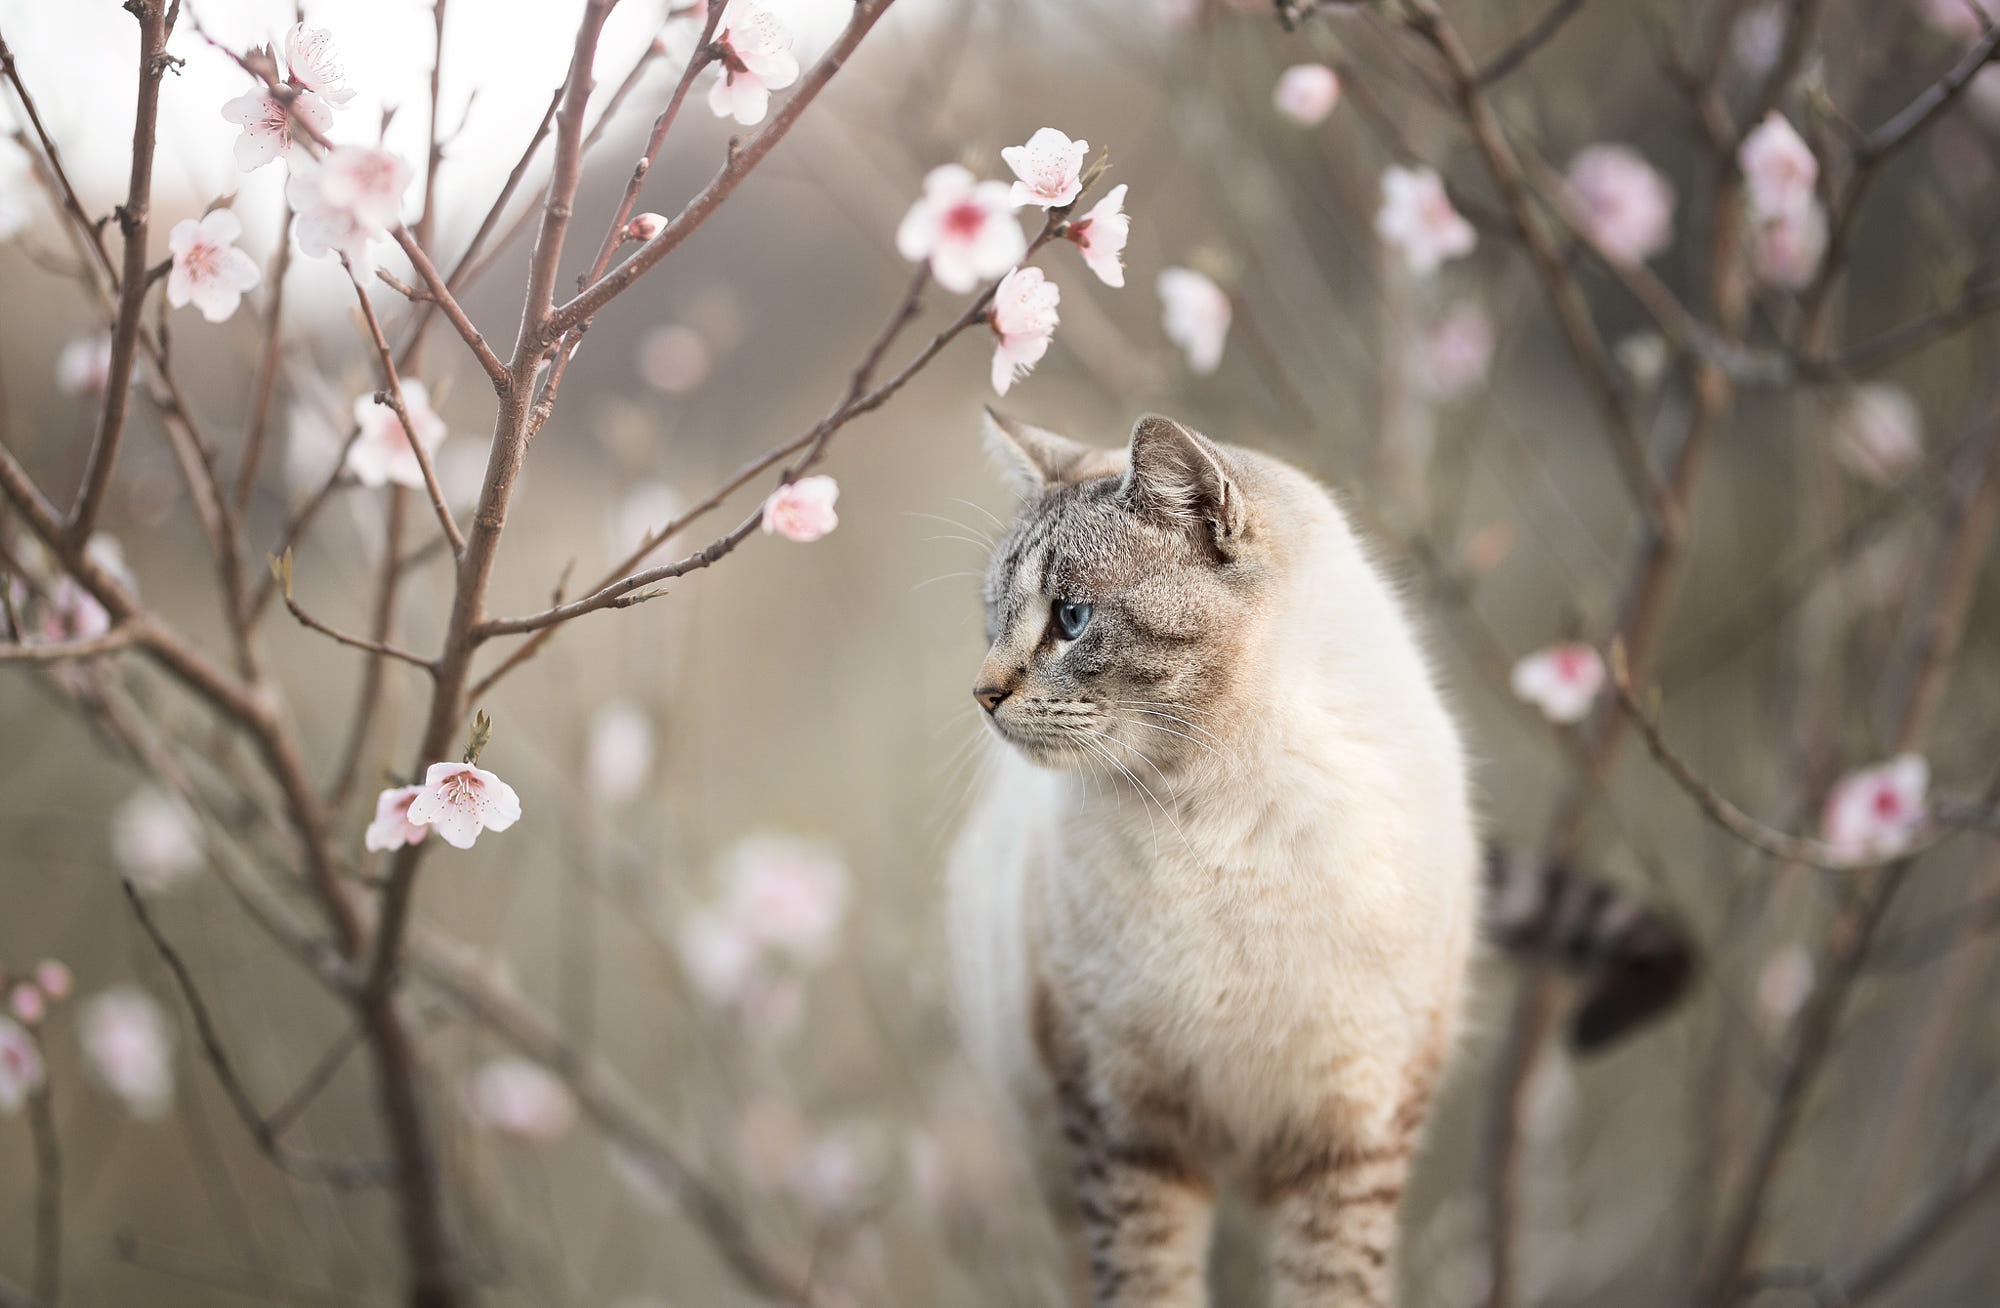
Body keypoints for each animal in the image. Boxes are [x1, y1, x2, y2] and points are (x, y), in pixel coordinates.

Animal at [952, 416, 1488, 1304]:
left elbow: (1331, 1287)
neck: (1222, 812)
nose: (983, 695)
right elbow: (1150, 1286)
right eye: (994, 620)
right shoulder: (1127, 1127)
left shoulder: (1349, 1135)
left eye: (1071, 618)